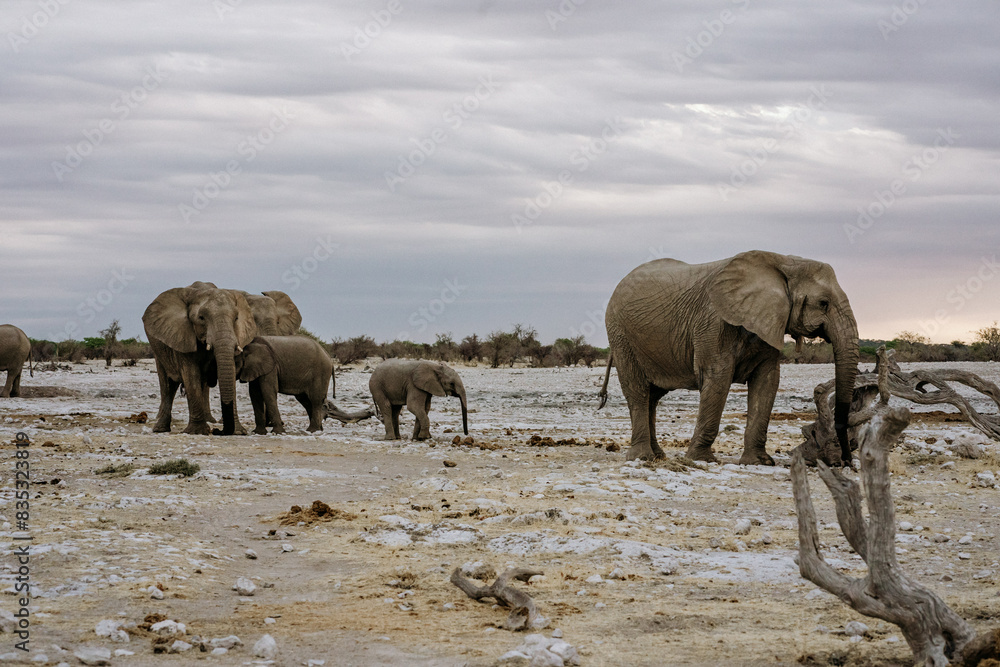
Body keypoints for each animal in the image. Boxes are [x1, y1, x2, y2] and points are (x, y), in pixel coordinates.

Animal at [143, 281, 256, 435]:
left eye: (236, 318)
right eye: (201, 318)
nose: (219, 430)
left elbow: (230, 373)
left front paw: (238, 432)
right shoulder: (183, 335)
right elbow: (191, 375)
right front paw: (197, 431)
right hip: (158, 349)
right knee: (167, 384)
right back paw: (160, 429)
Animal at [236, 335, 374, 434]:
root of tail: (330, 359)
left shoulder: (271, 368)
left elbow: (268, 392)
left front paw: (278, 432)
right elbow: (254, 394)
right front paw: (258, 433)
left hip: (320, 373)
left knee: (315, 400)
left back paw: (312, 430)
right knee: (306, 400)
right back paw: (318, 429)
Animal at [598, 251, 859, 466]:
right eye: (823, 303)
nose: (846, 461)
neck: (784, 262)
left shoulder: (767, 322)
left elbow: (767, 382)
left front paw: (759, 462)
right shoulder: (713, 323)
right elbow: (718, 378)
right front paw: (702, 460)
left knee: (653, 396)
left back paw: (658, 456)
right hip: (620, 333)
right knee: (638, 391)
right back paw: (642, 457)